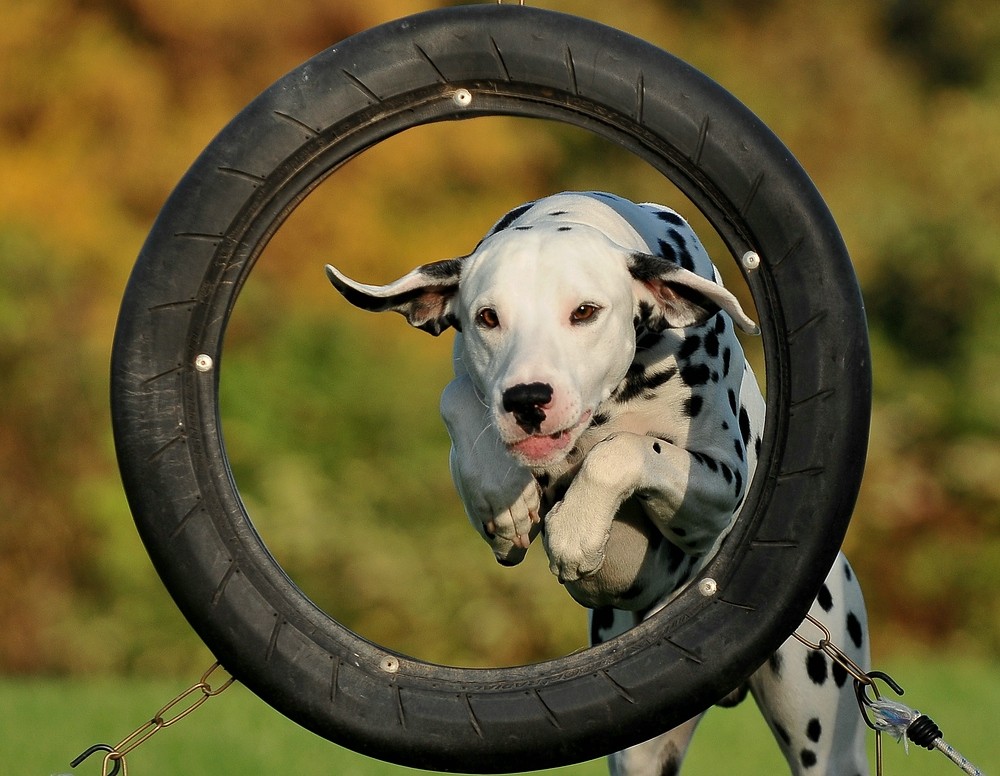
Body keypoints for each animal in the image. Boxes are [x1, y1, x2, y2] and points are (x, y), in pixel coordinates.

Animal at [326, 191, 868, 772]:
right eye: (487, 318)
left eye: (584, 311)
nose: (527, 399)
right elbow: (456, 400)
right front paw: (503, 503)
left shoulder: (720, 486)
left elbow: (622, 451)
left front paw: (577, 531)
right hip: (641, 753)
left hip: (824, 736)